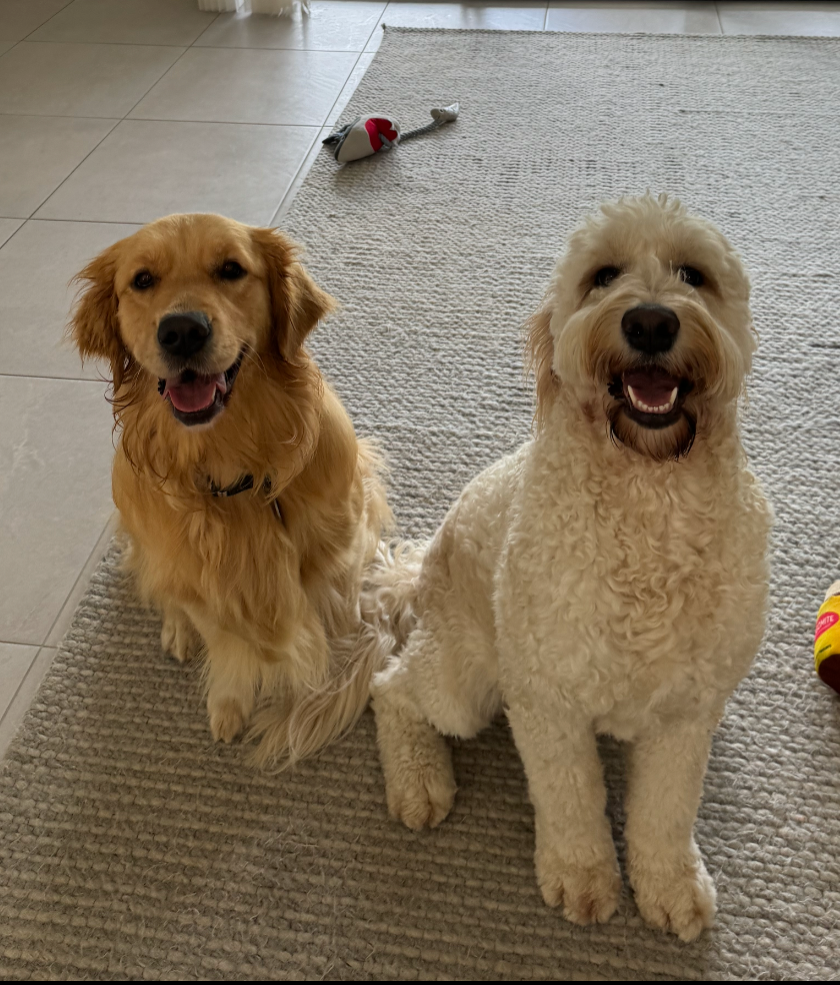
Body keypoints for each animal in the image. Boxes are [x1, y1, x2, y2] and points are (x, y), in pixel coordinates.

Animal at [71, 213, 390, 767]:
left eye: (231, 269)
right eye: (142, 280)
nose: (181, 331)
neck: (233, 467)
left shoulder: (337, 545)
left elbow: (336, 611)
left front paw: (332, 681)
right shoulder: (203, 578)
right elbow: (224, 639)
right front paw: (229, 704)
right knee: (162, 585)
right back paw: (176, 630)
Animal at [370, 194, 772, 941]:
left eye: (693, 274)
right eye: (602, 275)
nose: (651, 321)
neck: (648, 501)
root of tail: (427, 564)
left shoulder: (687, 711)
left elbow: (666, 808)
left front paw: (668, 883)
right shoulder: (545, 699)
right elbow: (571, 796)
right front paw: (583, 874)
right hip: (469, 676)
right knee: (393, 687)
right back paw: (418, 780)